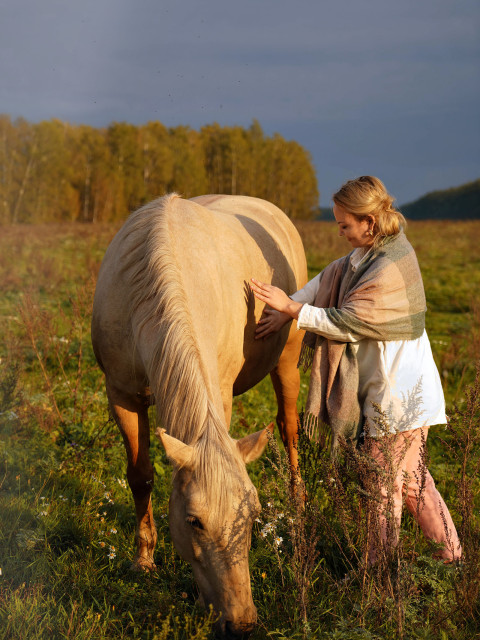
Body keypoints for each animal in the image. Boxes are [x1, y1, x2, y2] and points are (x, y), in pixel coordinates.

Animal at [90, 192, 308, 636]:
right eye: (194, 522)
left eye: (254, 517)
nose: (241, 623)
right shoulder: (121, 395)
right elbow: (140, 477)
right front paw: (144, 559)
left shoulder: (220, 393)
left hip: (288, 359)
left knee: (289, 428)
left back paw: (297, 501)